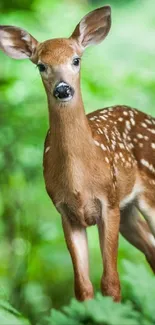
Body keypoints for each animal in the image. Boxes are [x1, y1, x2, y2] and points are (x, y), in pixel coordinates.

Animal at [0, 6, 155, 302]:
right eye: (41, 65)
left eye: (76, 60)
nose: (62, 89)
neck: (79, 181)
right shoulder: (66, 212)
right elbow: (82, 287)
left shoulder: (108, 202)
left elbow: (111, 282)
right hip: (128, 210)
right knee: (151, 248)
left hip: (148, 193)